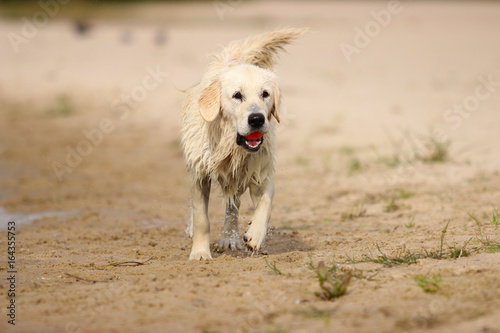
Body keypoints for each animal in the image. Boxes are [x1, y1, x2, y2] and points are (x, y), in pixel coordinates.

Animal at [180, 27, 304, 260]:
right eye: (237, 95)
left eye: (265, 94)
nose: (256, 119)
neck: (230, 145)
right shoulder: (200, 173)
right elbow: (202, 218)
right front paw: (200, 253)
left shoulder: (259, 172)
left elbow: (266, 203)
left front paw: (254, 236)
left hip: (237, 176)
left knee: (233, 205)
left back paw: (230, 238)